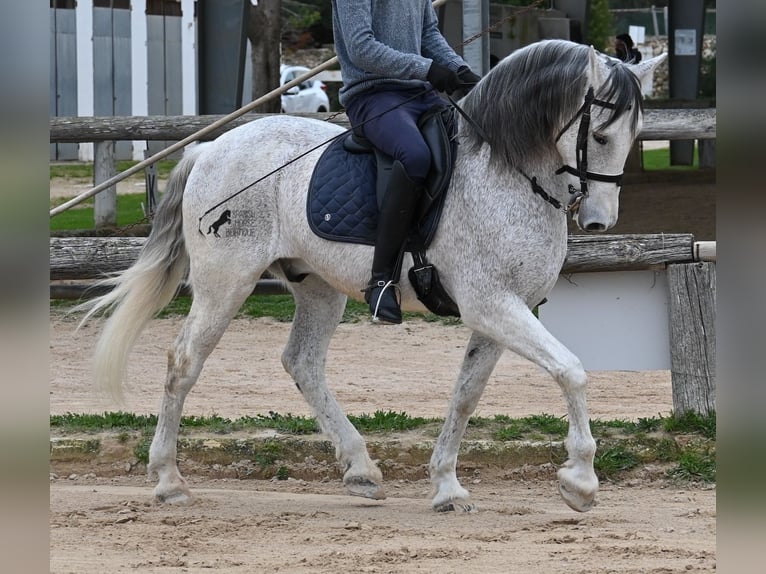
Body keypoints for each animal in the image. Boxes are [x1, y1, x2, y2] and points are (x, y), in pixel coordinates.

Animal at [76, 42, 664, 516]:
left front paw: (447, 487)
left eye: (636, 134)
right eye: (601, 134)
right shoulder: (492, 304)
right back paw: (169, 480)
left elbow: (466, 396)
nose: (600, 221)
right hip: (227, 282)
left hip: (316, 287)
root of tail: (210, 148)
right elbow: (571, 370)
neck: (505, 173)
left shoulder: (504, 311)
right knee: (183, 363)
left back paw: (360, 470)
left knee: (302, 362)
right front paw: (580, 483)